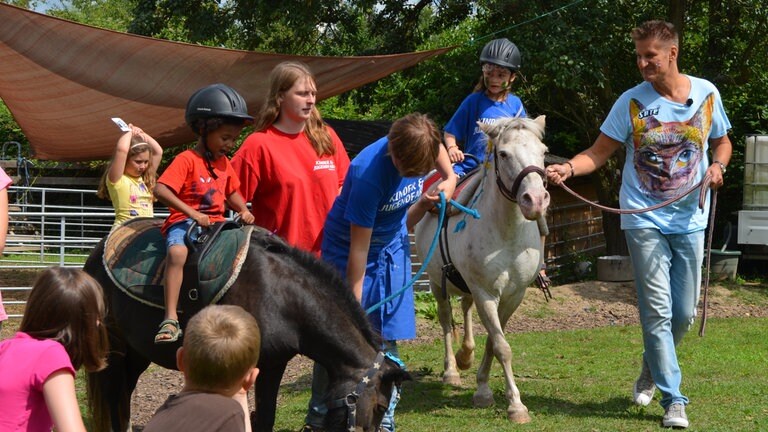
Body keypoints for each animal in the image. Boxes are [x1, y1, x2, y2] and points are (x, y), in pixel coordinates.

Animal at [83, 228, 408, 430]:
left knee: (123, 399)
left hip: (136, 354)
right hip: (115, 351)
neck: (281, 295)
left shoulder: (274, 364)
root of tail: (96, 255)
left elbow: (264, 418)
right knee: (113, 400)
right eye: (381, 406)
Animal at [416, 115, 548, 422]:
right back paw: (452, 370)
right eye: (504, 154)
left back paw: (466, 354)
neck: (507, 234)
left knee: (465, 309)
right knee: (445, 320)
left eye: (544, 152)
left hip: (466, 286)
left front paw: (483, 389)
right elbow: (501, 346)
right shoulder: (485, 293)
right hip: (437, 284)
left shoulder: (514, 295)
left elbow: (492, 340)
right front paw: (515, 405)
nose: (535, 200)